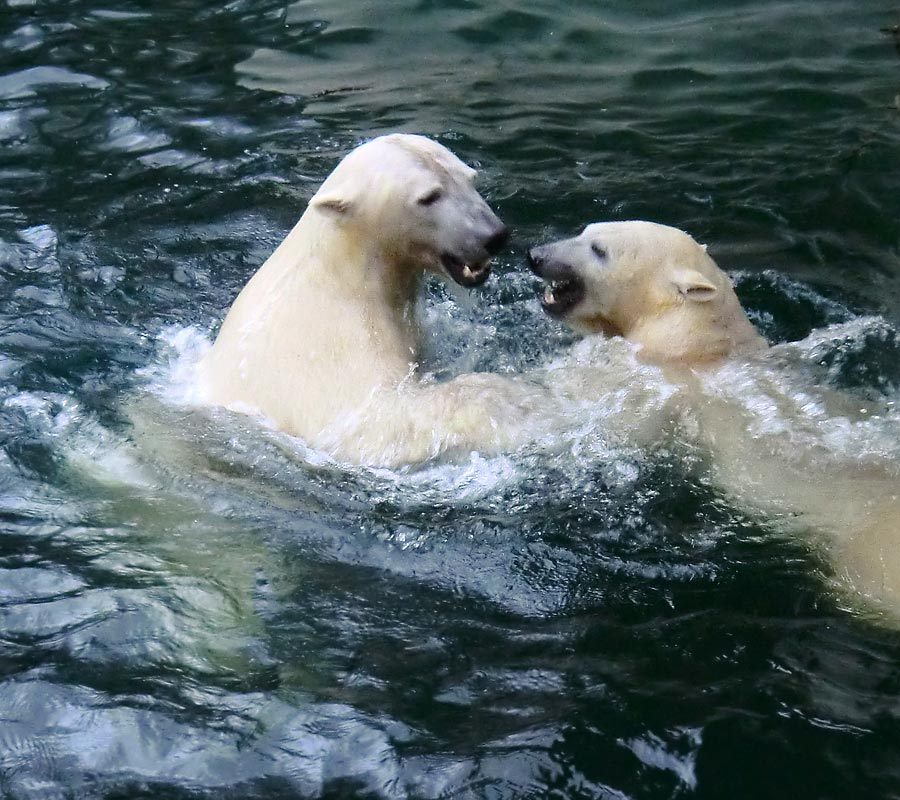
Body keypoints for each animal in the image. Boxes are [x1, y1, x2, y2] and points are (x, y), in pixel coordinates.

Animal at [199, 134, 548, 466]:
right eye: (429, 196)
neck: (345, 271)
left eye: (469, 177)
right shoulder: (331, 348)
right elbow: (378, 423)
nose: (495, 236)